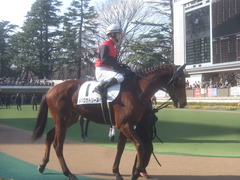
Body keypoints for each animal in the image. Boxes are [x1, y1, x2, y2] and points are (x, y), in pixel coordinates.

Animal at [31, 63, 188, 180]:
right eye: (179, 80)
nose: (183, 103)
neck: (136, 89)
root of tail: (51, 89)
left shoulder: (126, 126)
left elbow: (120, 148)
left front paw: (117, 172)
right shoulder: (125, 125)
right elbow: (140, 146)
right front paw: (135, 172)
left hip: (69, 119)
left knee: (50, 136)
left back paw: (43, 164)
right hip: (62, 120)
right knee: (58, 145)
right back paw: (68, 173)